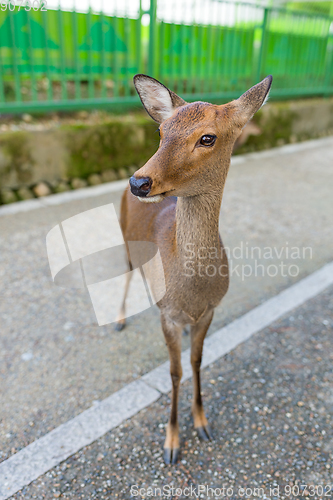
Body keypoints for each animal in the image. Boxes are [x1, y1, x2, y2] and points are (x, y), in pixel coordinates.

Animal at [115, 74, 272, 464]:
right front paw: (171, 442)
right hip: (123, 236)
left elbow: (198, 361)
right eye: (161, 131)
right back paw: (120, 319)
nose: (139, 182)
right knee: (126, 270)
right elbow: (175, 372)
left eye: (207, 138)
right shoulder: (167, 315)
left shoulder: (211, 310)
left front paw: (202, 423)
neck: (192, 291)